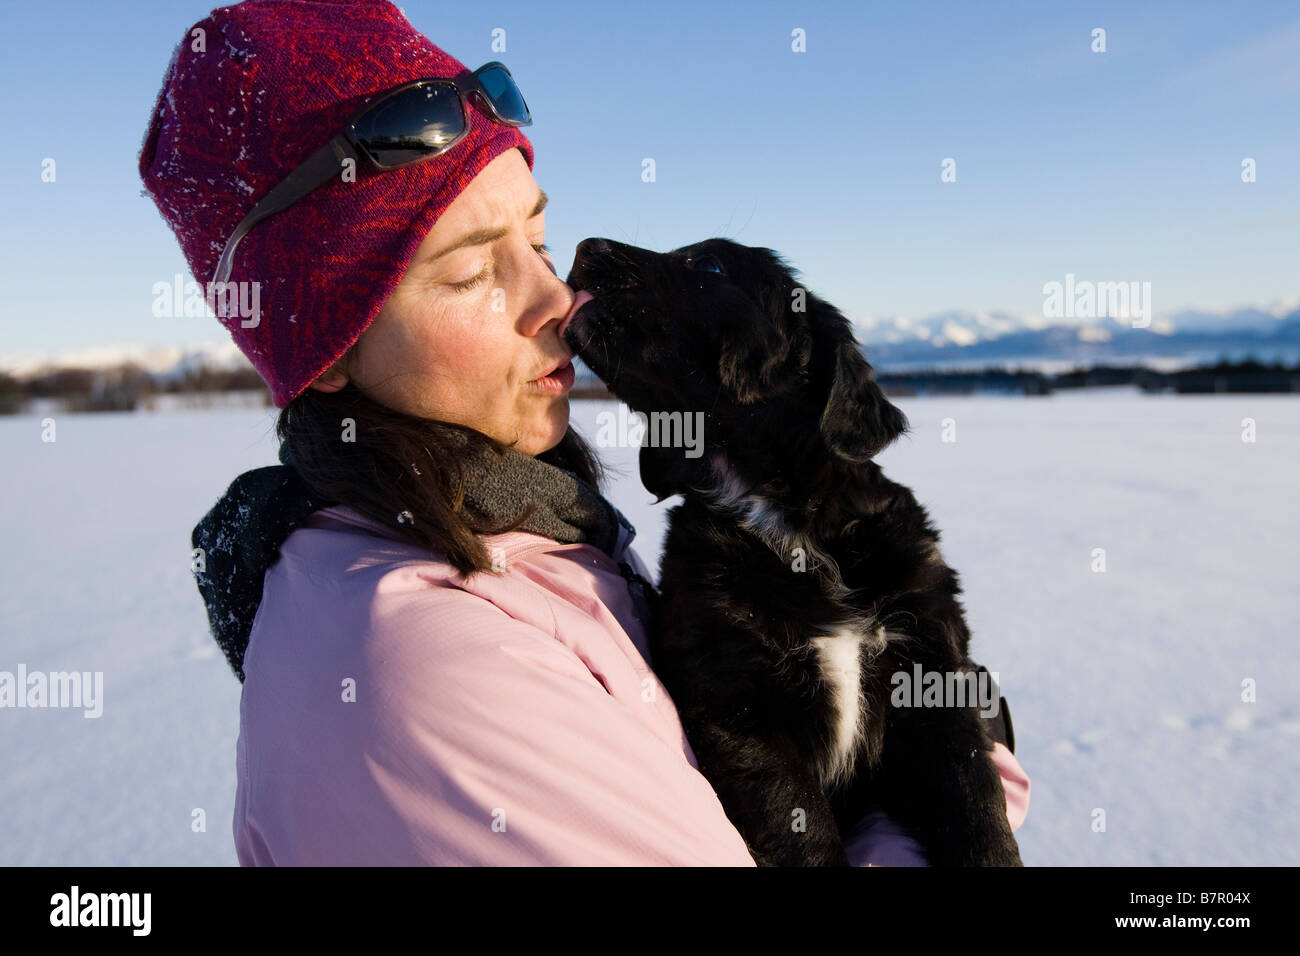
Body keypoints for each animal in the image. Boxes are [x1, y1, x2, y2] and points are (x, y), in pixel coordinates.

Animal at [564, 238, 1019, 868]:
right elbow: (801, 831)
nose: (584, 247)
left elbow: (978, 809)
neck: (781, 510)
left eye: (709, 264)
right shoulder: (739, 711)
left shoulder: (938, 676)